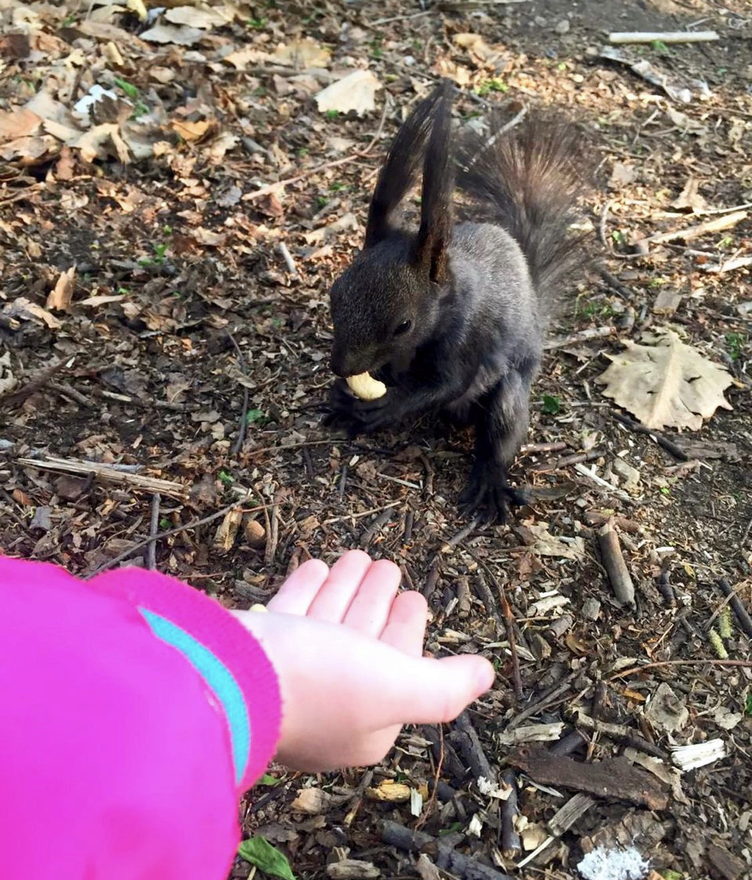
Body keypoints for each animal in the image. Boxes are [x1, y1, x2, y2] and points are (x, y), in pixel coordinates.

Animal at [326, 79, 592, 520]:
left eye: (403, 325)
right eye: (334, 293)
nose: (341, 367)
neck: (451, 300)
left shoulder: (469, 337)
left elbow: (448, 382)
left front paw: (385, 405)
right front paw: (346, 397)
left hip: (509, 390)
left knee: (501, 429)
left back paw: (490, 479)